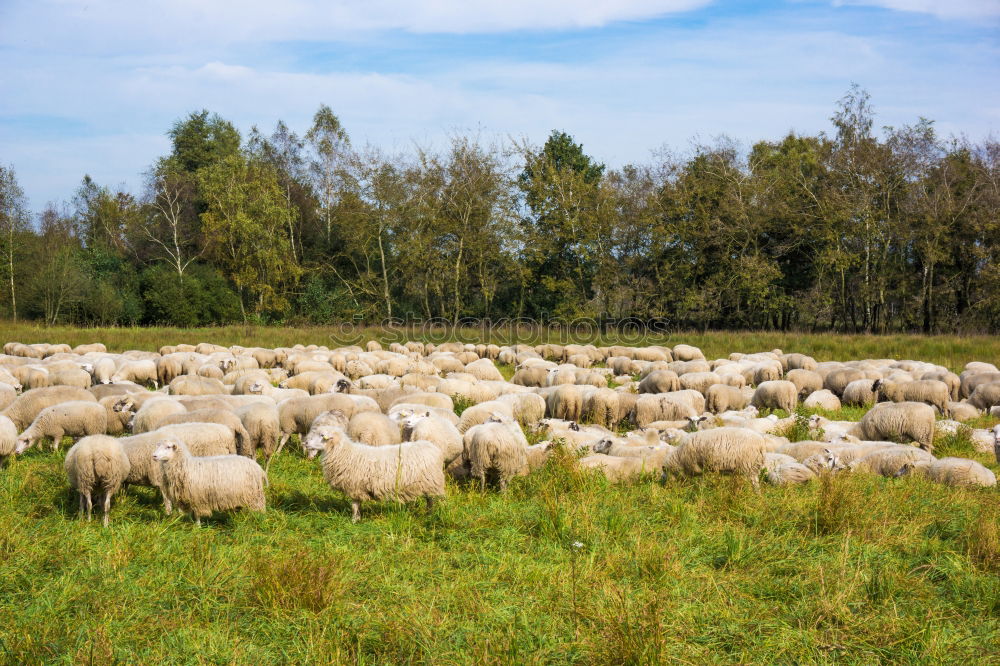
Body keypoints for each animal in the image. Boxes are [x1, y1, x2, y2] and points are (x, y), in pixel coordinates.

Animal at [302, 422, 448, 520]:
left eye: (322, 435)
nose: (305, 443)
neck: (345, 453)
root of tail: (432, 447)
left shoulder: (355, 486)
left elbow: (355, 505)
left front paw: (354, 520)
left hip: (432, 482)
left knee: (433, 500)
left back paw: (432, 515)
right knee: (429, 501)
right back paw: (428, 514)